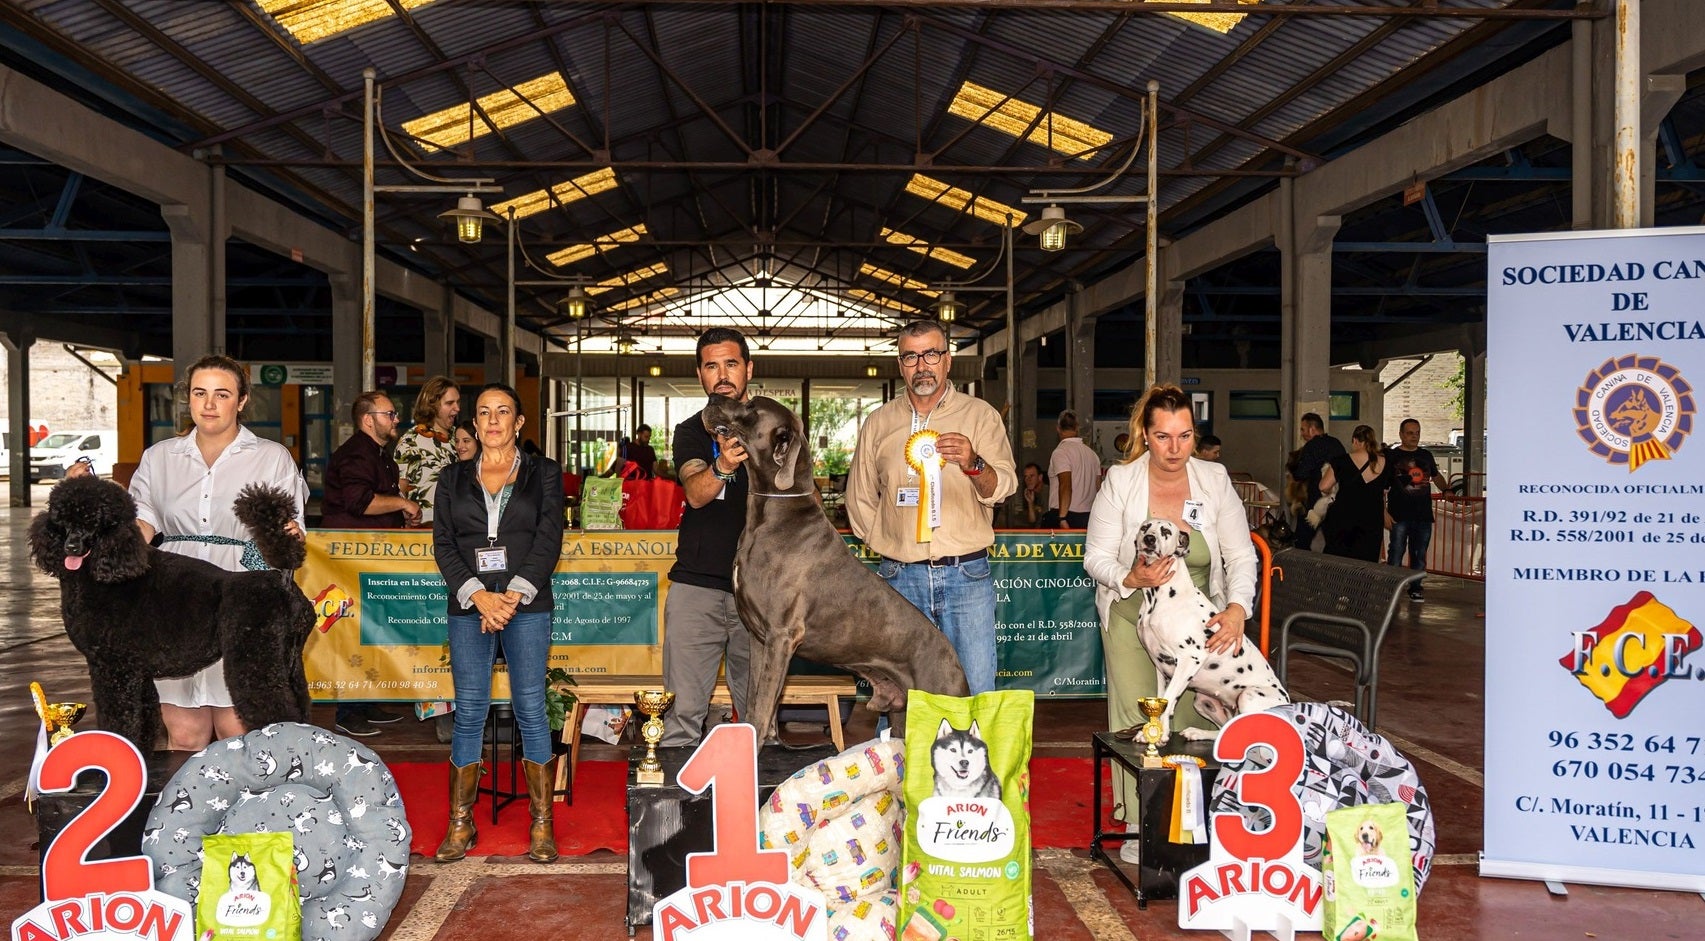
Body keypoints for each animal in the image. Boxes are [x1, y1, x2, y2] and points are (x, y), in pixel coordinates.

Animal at [1132, 518, 1288, 739]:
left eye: (1165, 531)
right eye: (1144, 528)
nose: (1149, 539)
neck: (1161, 597)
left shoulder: (1190, 658)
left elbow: (1169, 700)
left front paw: (1161, 735)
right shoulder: (1160, 667)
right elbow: (1162, 699)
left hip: (1248, 696)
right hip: (1202, 701)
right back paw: (1197, 733)